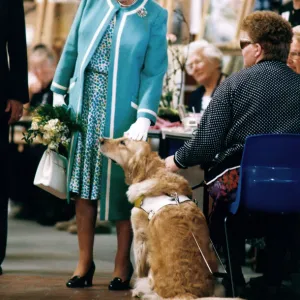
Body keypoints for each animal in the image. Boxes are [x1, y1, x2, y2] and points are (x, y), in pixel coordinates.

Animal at [99, 138, 245, 300]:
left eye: (123, 142)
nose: (100, 140)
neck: (153, 173)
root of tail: (186, 293)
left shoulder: (140, 236)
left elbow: (139, 269)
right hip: (218, 285)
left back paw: (140, 291)